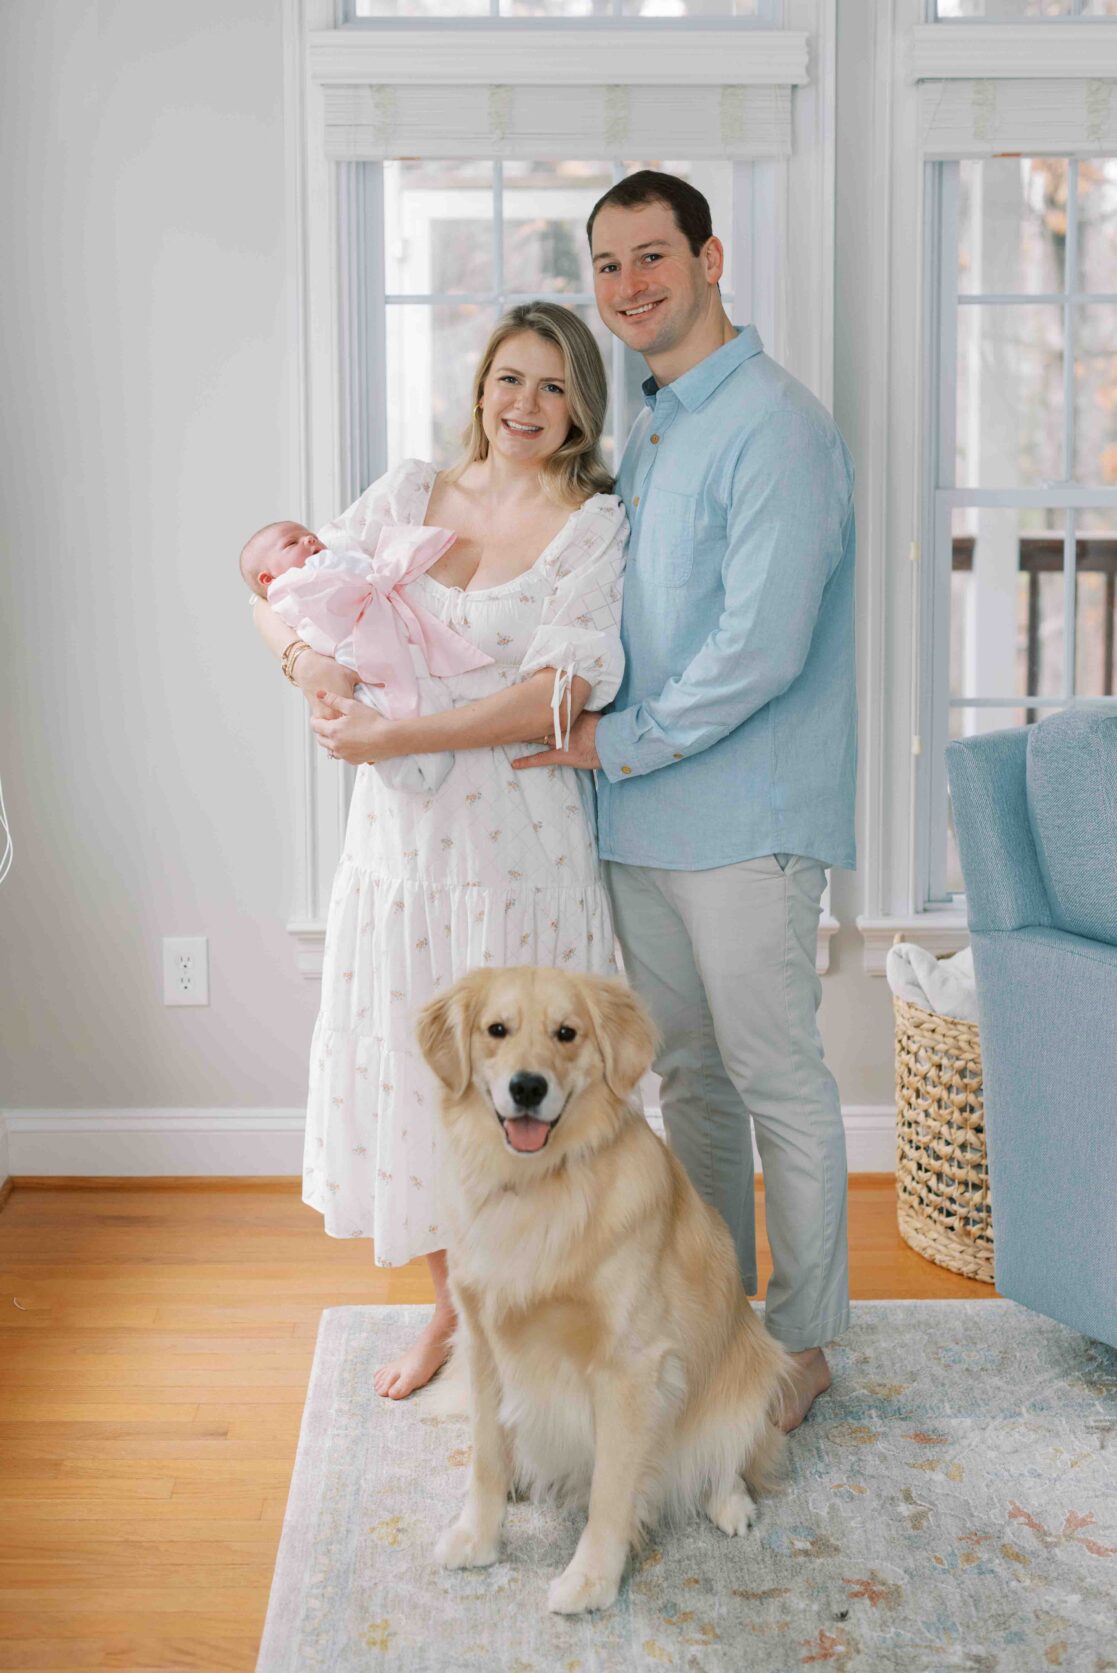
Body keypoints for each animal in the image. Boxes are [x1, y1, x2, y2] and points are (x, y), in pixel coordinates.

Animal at [414, 970, 789, 1619]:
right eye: (496, 1029)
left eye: (567, 1033)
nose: (528, 1087)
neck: (540, 1184)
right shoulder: (484, 1343)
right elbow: (485, 1458)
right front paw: (478, 1537)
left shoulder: (629, 1368)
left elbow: (611, 1491)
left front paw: (590, 1580)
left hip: (753, 1370)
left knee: (729, 1457)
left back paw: (730, 1503)